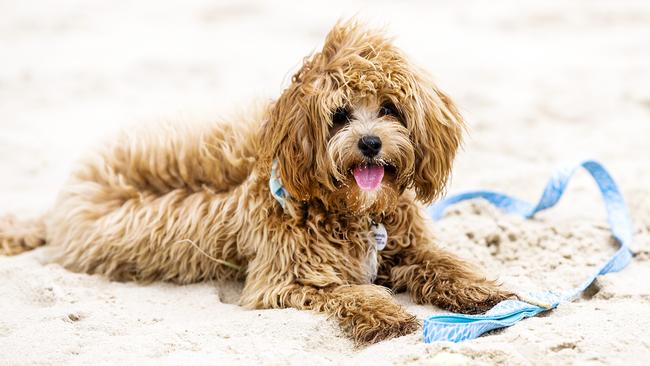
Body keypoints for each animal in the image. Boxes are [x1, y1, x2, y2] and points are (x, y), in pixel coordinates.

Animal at [1, 21, 512, 344]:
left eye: (389, 108)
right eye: (340, 115)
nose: (369, 143)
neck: (353, 213)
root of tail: (63, 203)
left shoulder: (407, 245)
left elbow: (443, 262)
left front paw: (483, 292)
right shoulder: (285, 279)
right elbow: (350, 291)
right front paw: (386, 314)